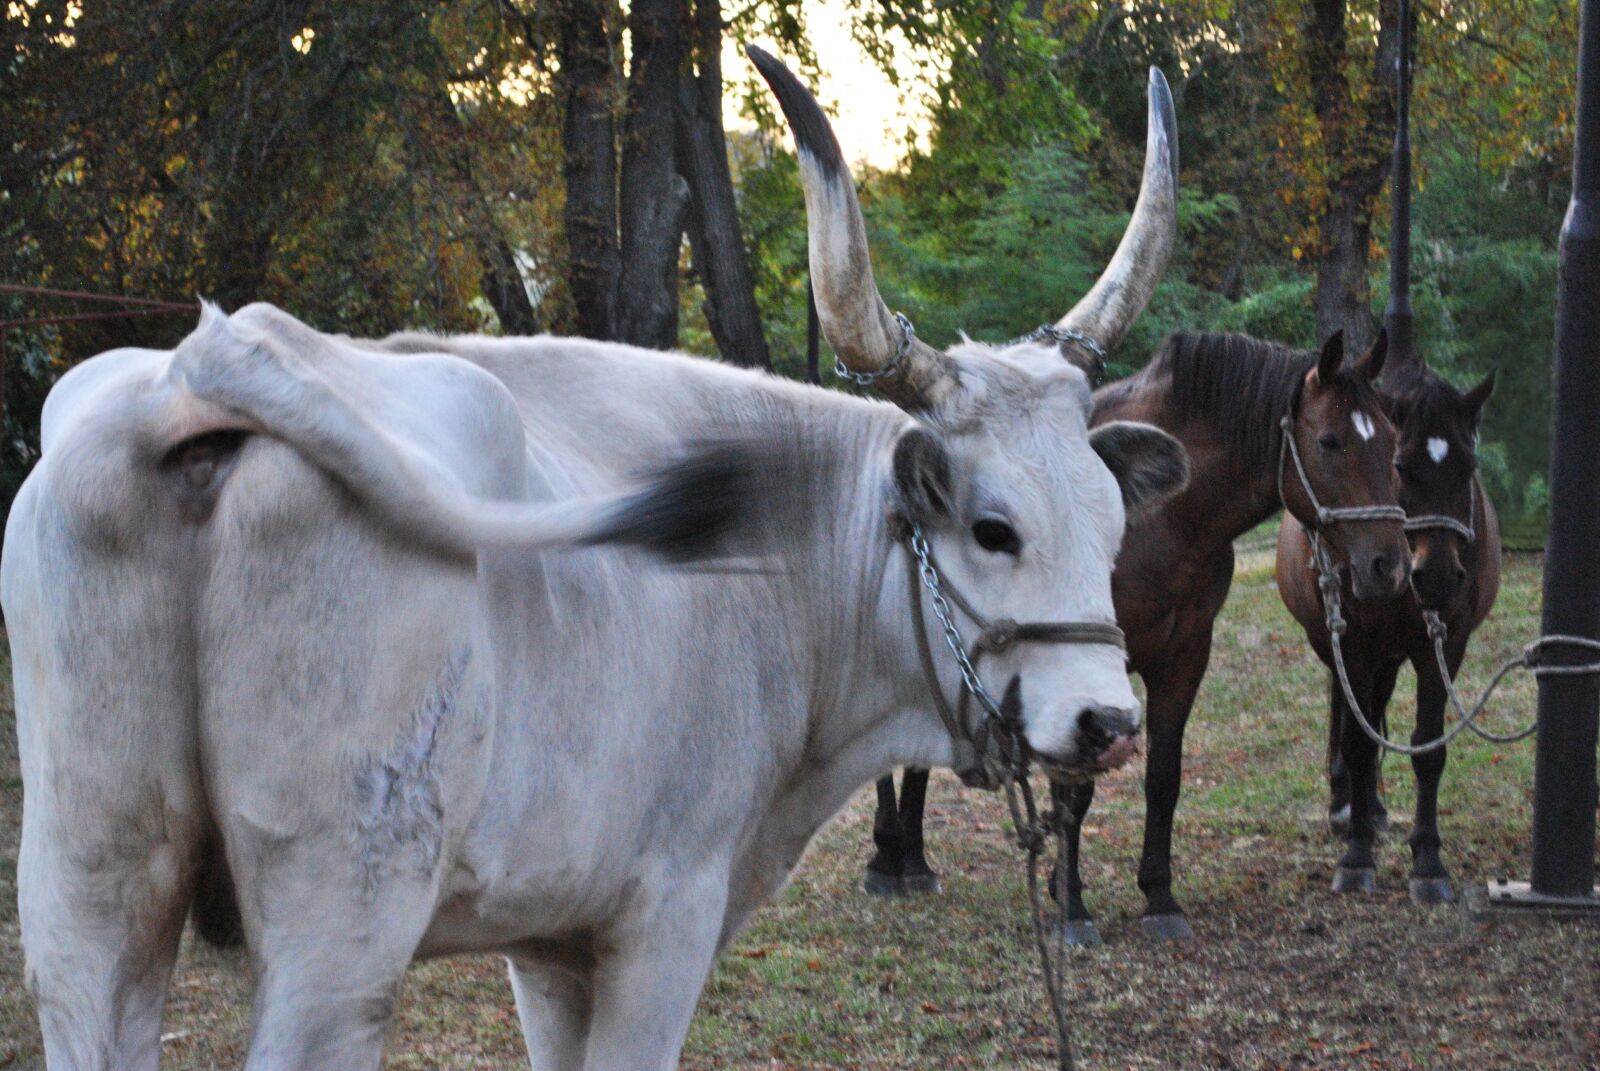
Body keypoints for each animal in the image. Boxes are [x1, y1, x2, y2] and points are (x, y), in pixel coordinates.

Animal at [3, 50, 1186, 1071]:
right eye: (993, 527)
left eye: (1113, 525)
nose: (1107, 722)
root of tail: (195, 371)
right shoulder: (664, 915)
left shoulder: (551, 940)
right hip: (340, 925)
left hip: (85, 895)